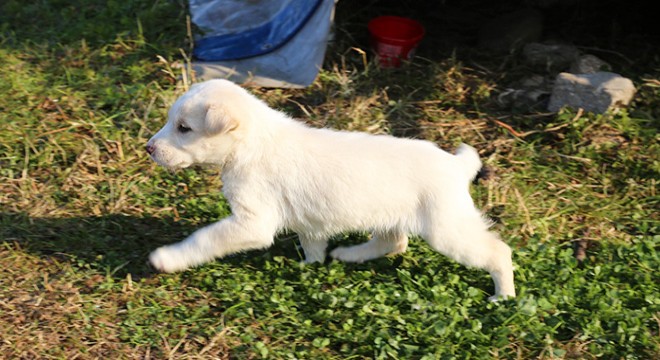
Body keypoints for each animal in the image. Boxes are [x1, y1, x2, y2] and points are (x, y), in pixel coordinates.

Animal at [147, 80, 520, 300]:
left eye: (184, 128)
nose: (148, 148)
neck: (252, 142)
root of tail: (457, 166)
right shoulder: (306, 223)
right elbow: (312, 243)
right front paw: (310, 265)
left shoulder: (252, 223)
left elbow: (204, 238)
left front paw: (168, 258)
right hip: (393, 217)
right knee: (394, 243)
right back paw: (347, 255)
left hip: (448, 230)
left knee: (498, 252)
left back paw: (503, 295)